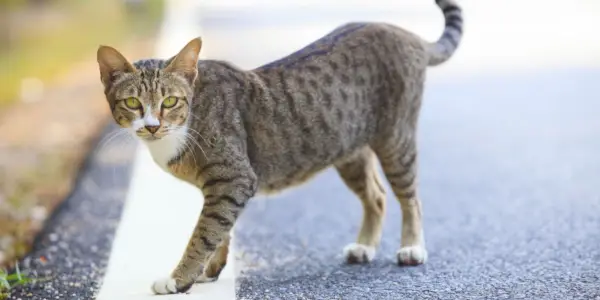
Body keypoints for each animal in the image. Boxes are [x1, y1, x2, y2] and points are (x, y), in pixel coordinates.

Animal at [97, 0, 464, 296]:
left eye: (170, 101)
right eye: (132, 103)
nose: (151, 125)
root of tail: (408, 35)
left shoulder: (234, 178)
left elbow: (204, 233)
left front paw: (179, 278)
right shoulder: (221, 187)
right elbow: (219, 230)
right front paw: (209, 271)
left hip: (396, 138)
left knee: (410, 197)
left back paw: (412, 247)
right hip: (348, 150)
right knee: (376, 195)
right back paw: (364, 246)